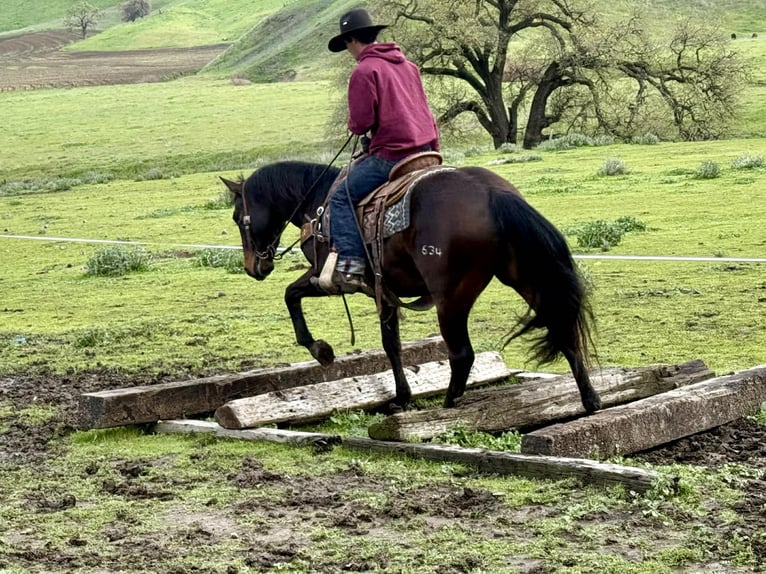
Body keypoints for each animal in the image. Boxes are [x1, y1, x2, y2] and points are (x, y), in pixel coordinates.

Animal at [221, 160, 601, 413]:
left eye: (238, 218)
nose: (254, 267)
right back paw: (590, 399)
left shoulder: (326, 278)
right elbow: (392, 344)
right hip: (525, 278)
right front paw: (401, 397)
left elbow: (291, 294)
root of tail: (492, 193)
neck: (318, 204)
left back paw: (449, 403)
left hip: (452, 296)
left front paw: (321, 350)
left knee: (462, 354)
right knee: (563, 330)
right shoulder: (384, 293)